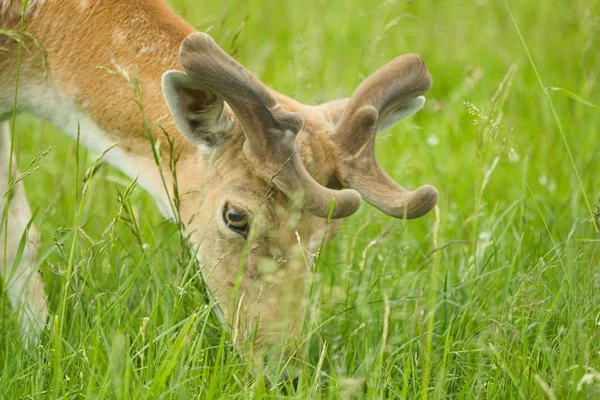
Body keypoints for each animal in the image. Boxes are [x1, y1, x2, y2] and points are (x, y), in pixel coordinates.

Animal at [2, 0, 438, 366]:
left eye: (327, 235)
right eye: (235, 216)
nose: (281, 364)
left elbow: (20, 235)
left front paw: (37, 342)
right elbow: (18, 234)